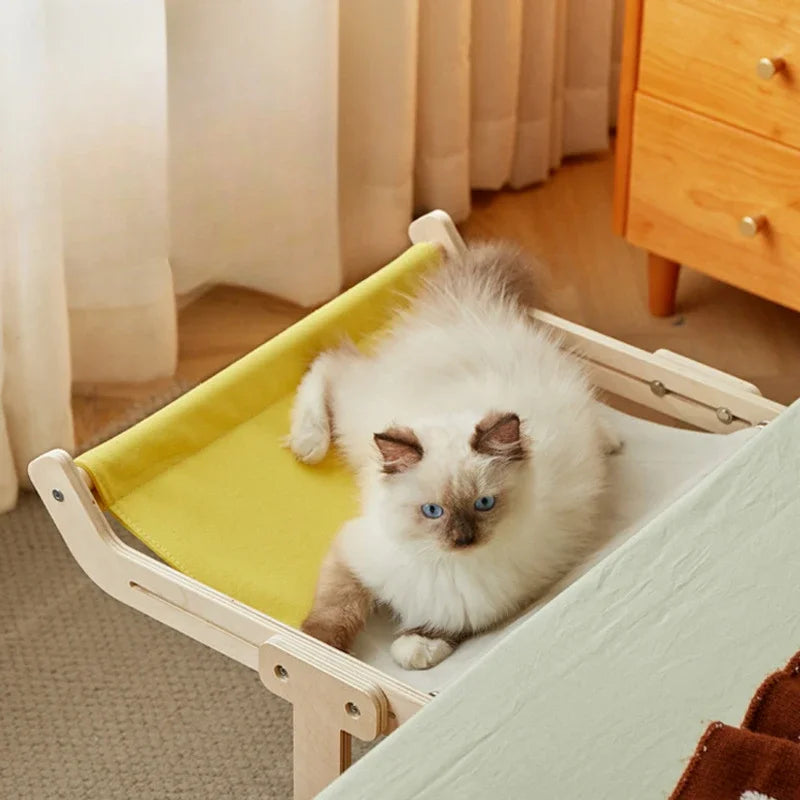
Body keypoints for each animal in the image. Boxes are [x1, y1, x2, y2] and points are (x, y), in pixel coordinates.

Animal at [290, 244, 620, 668]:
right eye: (433, 511)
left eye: (484, 504)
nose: (463, 539)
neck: (444, 566)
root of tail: (478, 309)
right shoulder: (352, 554)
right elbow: (333, 613)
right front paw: (316, 649)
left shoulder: (497, 603)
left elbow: (440, 632)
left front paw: (416, 649)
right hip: (358, 415)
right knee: (329, 362)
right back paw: (308, 443)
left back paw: (609, 439)